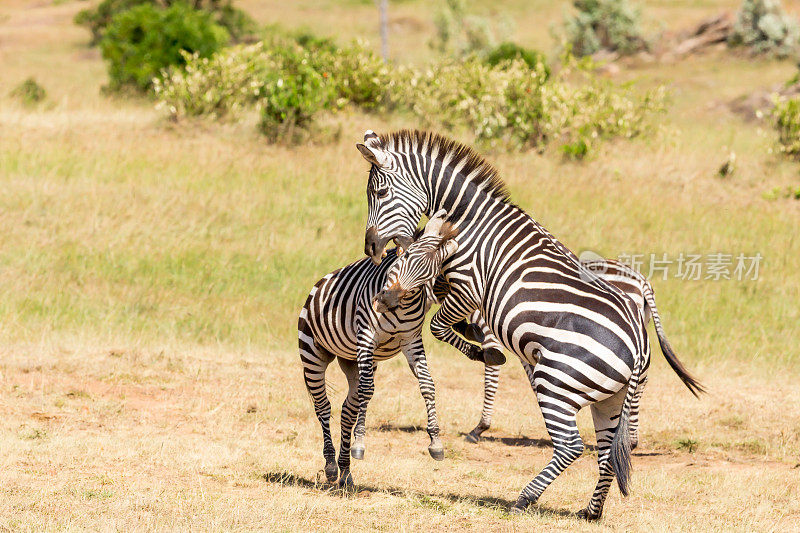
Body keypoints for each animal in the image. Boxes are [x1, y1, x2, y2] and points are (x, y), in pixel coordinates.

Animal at [360, 130, 704, 520]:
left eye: (380, 193)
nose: (370, 246)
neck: (471, 219)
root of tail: (637, 346)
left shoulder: (468, 287)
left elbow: (439, 327)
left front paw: (483, 352)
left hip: (556, 382)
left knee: (571, 446)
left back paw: (525, 498)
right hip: (609, 400)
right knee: (605, 452)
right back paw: (591, 511)